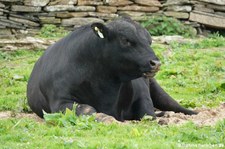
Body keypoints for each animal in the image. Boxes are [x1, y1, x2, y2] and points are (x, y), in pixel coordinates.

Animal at [26, 17, 197, 121]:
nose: (155, 63)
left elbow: (148, 113)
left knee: (174, 105)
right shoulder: (60, 101)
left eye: (149, 41)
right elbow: (87, 109)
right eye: (125, 40)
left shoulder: (142, 95)